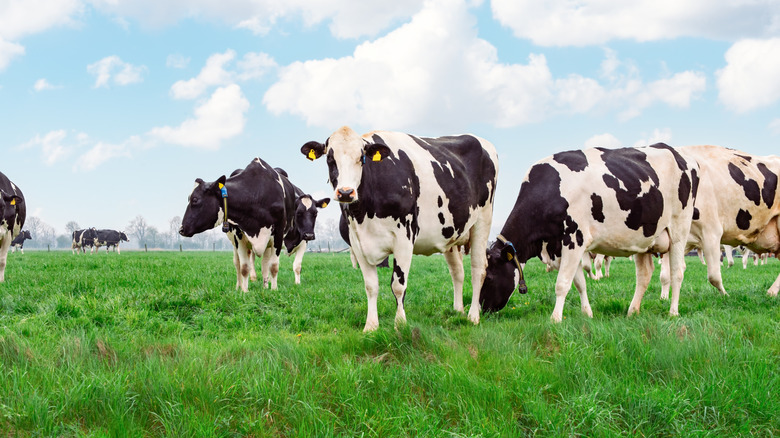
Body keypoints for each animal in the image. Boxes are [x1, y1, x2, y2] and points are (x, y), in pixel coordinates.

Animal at [180, 158, 303, 291]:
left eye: (195, 200)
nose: (181, 229)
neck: (256, 195)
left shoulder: (278, 234)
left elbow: (273, 266)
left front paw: (273, 290)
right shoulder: (239, 235)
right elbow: (244, 268)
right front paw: (244, 291)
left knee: (265, 263)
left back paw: (265, 286)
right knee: (237, 263)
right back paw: (239, 286)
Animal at [301, 126, 499, 331]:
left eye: (361, 158)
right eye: (330, 159)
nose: (346, 192)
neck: (364, 214)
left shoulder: (404, 237)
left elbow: (398, 285)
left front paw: (400, 324)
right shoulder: (357, 243)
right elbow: (371, 286)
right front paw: (371, 326)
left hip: (483, 221)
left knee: (478, 269)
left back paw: (473, 316)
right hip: (450, 234)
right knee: (457, 271)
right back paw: (458, 311)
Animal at [479, 144, 699, 322]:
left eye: (488, 277)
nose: (482, 308)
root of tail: (678, 154)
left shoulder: (574, 239)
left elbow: (562, 283)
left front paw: (555, 319)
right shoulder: (562, 247)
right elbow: (579, 283)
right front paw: (587, 314)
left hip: (679, 230)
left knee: (677, 272)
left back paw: (673, 312)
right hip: (645, 239)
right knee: (644, 275)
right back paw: (632, 311)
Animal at [658, 146, 780, 299]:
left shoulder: (712, 232)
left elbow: (714, 275)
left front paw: (726, 295)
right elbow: (665, 274)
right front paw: (663, 298)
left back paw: (771, 291)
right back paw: (772, 292)